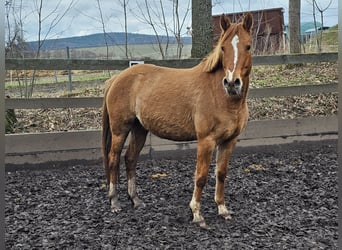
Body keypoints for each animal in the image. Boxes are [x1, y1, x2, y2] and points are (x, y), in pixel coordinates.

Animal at [103, 12, 252, 227]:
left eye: (248, 46)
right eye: (223, 47)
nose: (232, 83)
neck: (222, 96)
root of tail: (117, 78)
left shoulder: (229, 141)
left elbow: (221, 174)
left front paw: (223, 209)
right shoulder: (206, 141)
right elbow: (201, 176)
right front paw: (197, 213)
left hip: (139, 129)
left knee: (130, 158)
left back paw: (136, 200)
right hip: (119, 129)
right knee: (113, 159)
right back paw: (114, 202)